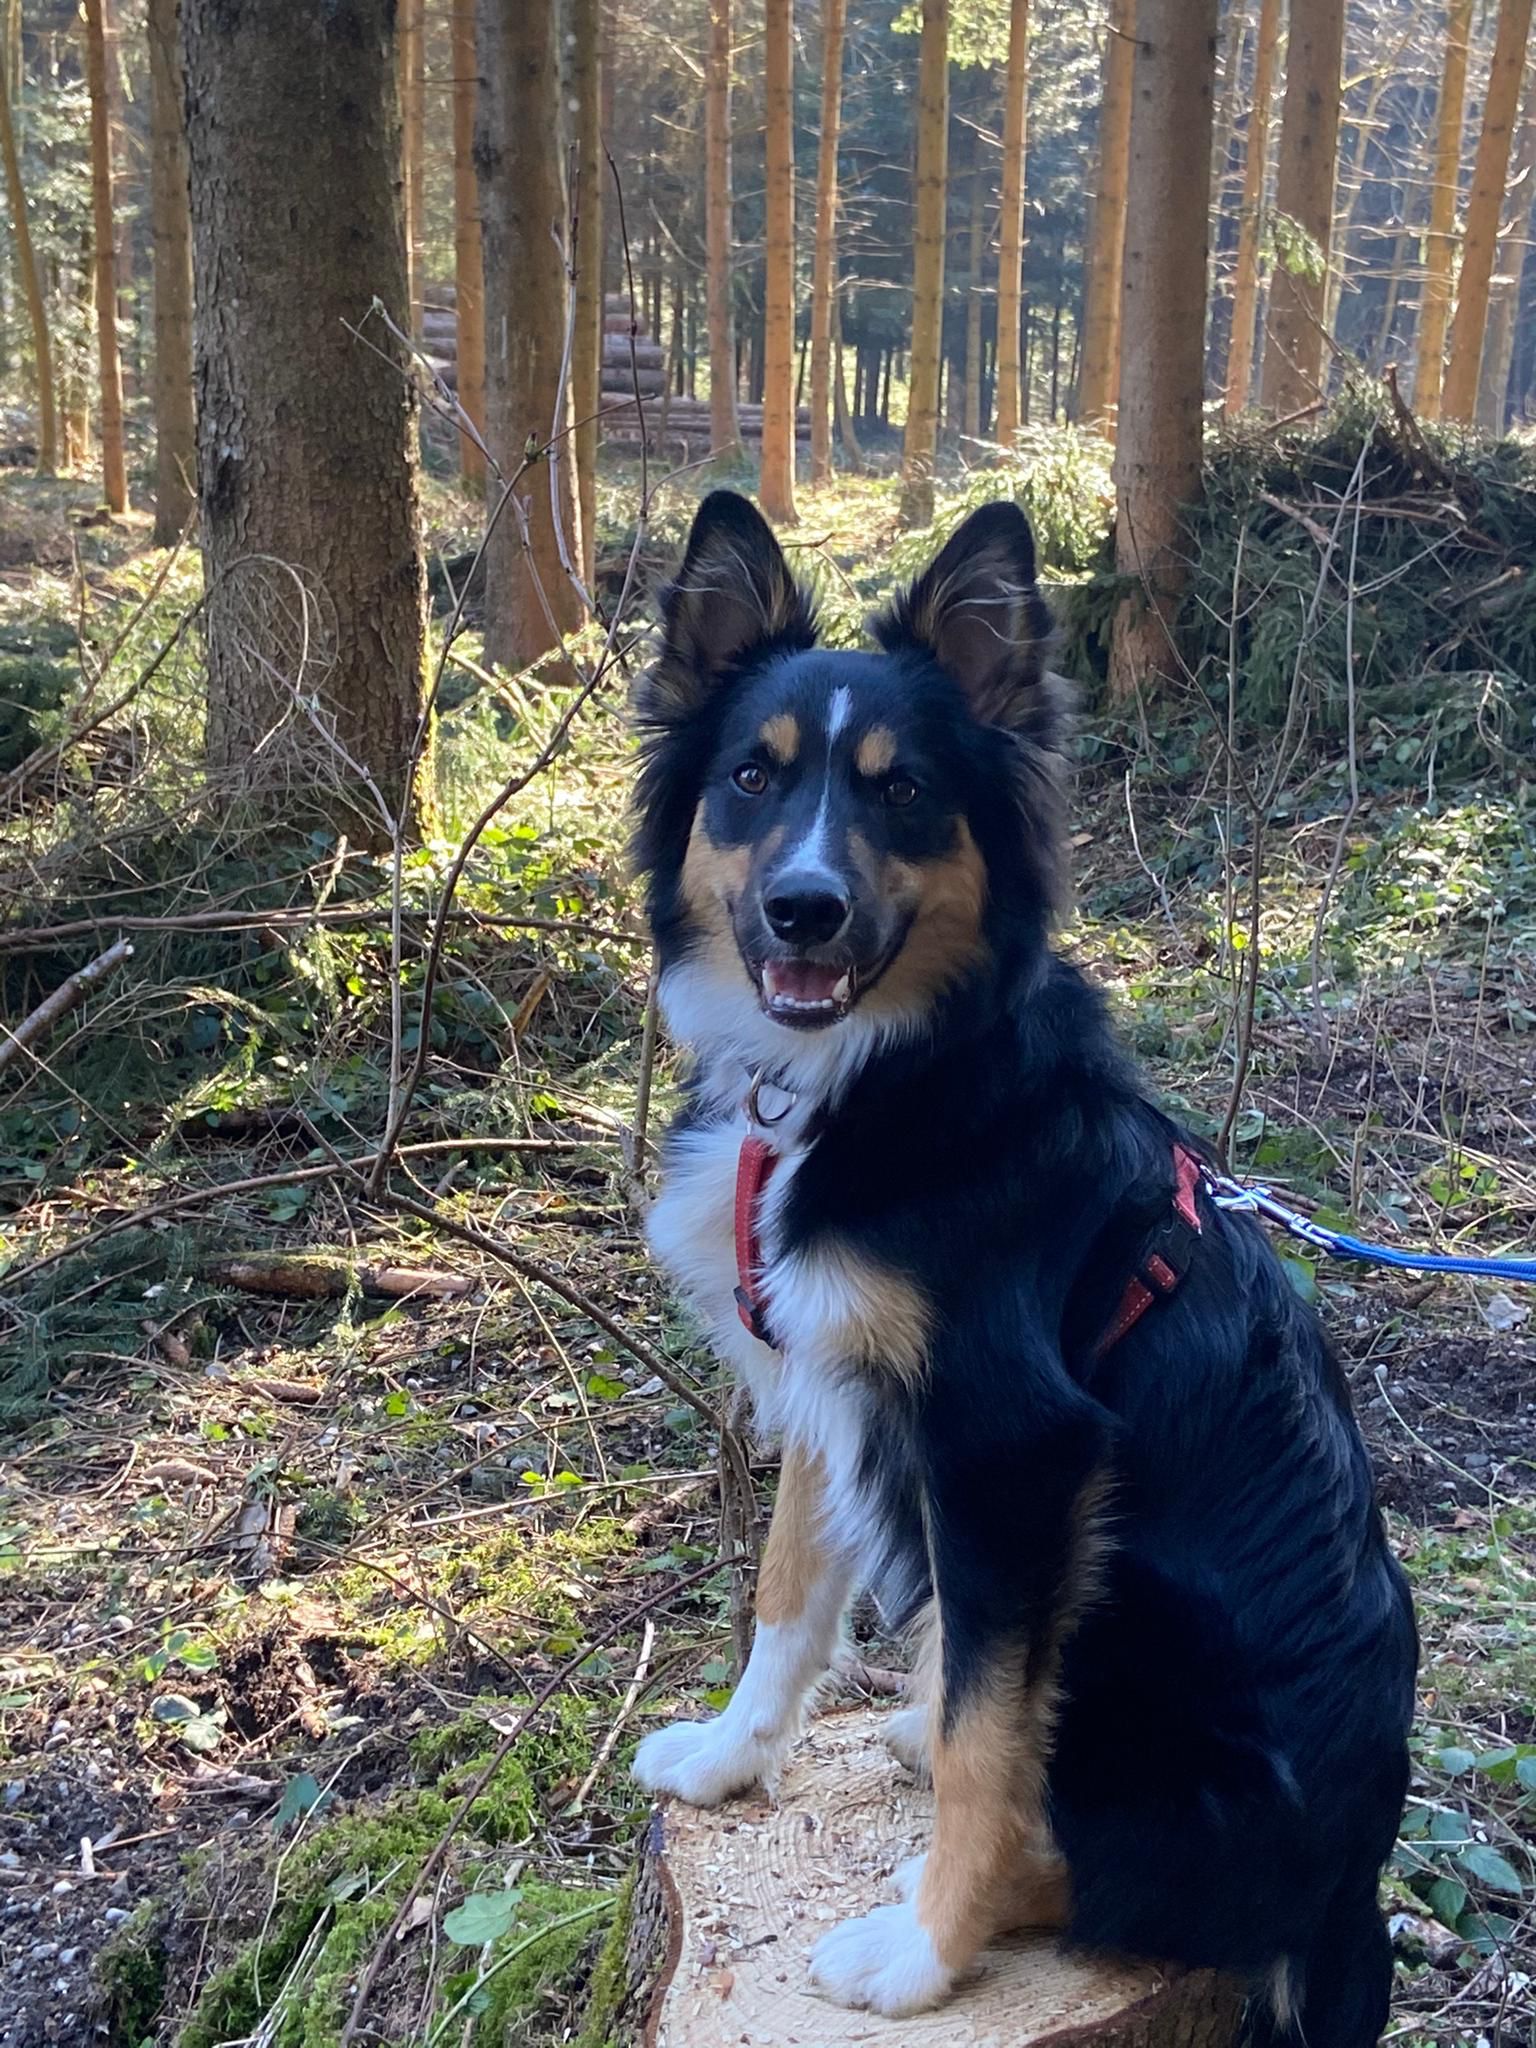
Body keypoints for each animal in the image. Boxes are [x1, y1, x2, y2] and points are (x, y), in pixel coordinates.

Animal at [629, 489, 1417, 2041]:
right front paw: (733, 1758)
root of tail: (1354, 1887)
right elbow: (787, 1593)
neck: (866, 1081)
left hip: (1119, 1608)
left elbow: (989, 1745)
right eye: (751, 778)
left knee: (1134, 1863)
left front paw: (927, 1955)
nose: (804, 908)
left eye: (906, 794)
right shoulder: (831, 1377)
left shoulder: (1015, 1447)